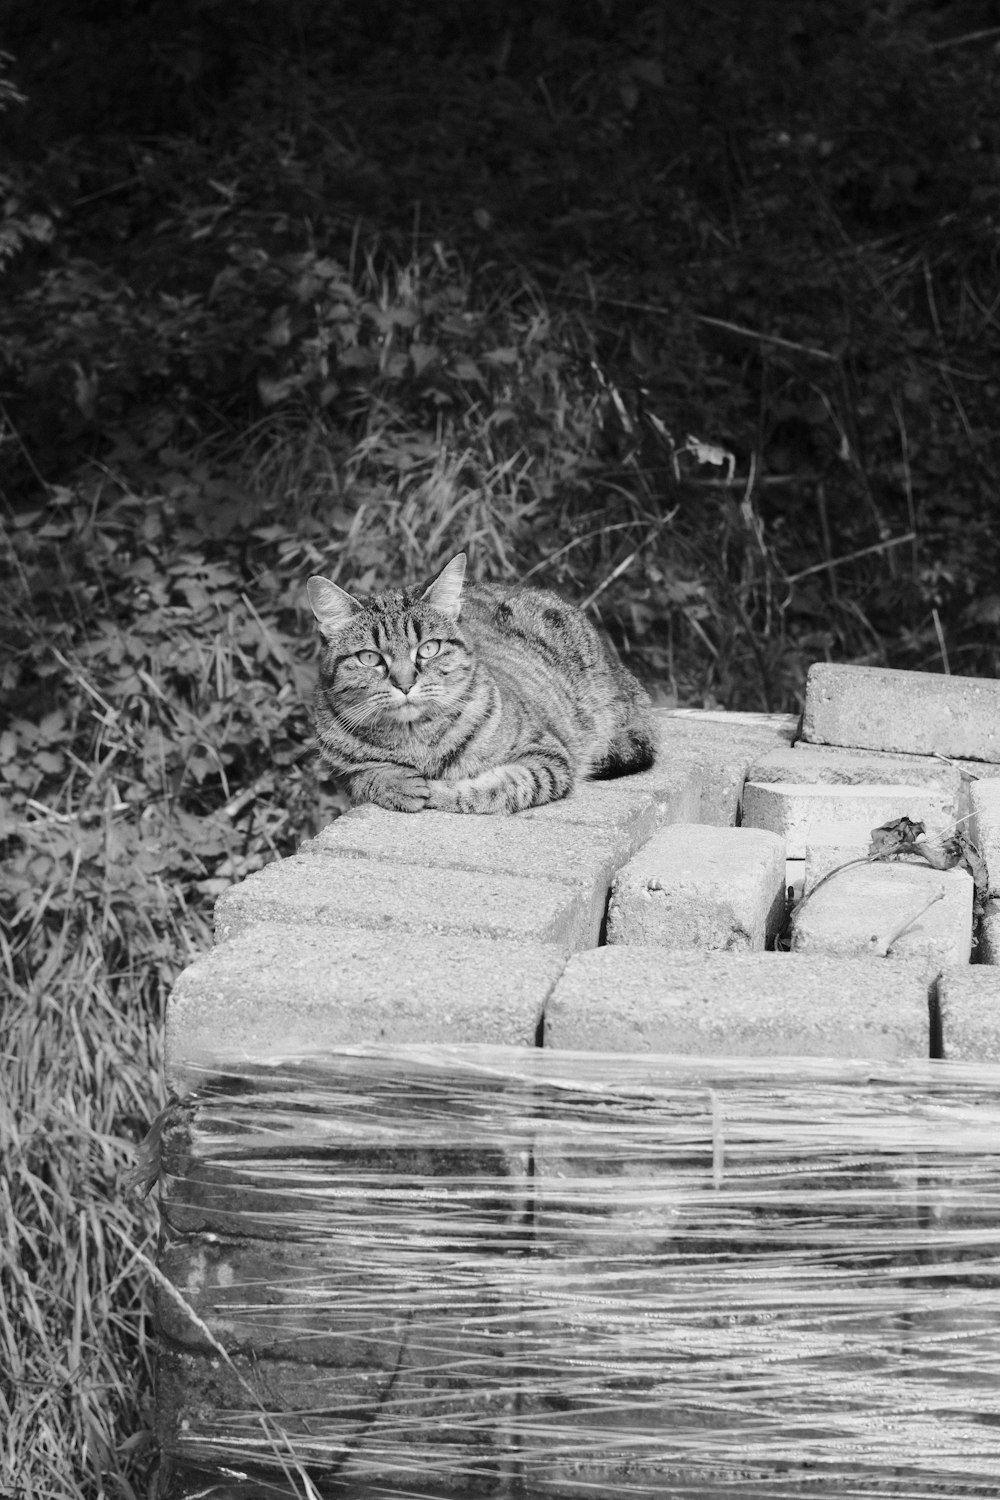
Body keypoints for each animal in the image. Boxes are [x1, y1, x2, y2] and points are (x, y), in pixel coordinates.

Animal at [308, 549, 659, 810]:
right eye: (370, 658)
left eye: (429, 649)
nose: (405, 684)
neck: (416, 743)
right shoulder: (340, 770)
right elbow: (364, 776)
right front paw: (394, 783)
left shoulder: (548, 758)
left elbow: (495, 789)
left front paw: (437, 790)